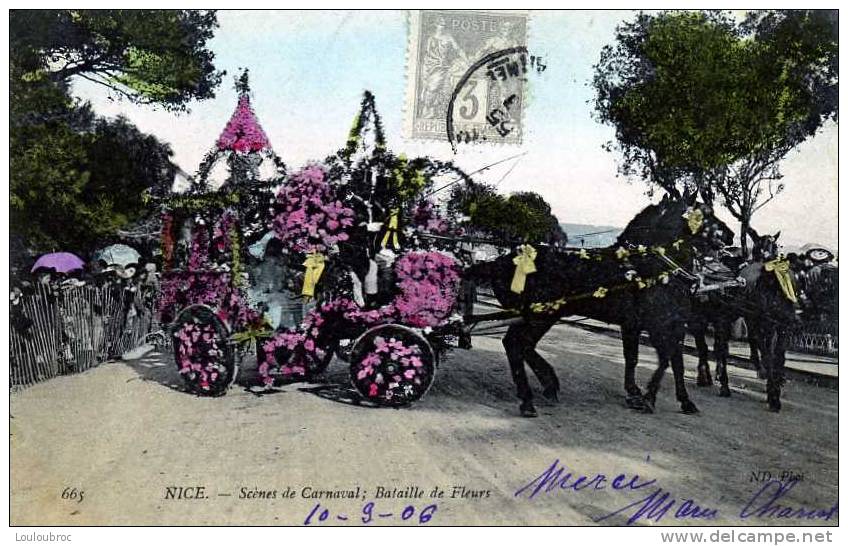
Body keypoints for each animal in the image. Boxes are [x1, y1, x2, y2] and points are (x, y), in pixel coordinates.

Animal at [474, 193, 732, 414]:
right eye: (705, 213)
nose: (729, 236)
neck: (649, 266)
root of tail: (500, 261)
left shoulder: (648, 325)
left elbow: (653, 359)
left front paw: (673, 399)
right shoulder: (657, 325)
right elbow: (665, 359)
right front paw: (647, 398)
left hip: (540, 316)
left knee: (521, 346)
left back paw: (547, 385)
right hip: (539, 316)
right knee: (516, 344)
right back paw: (529, 399)